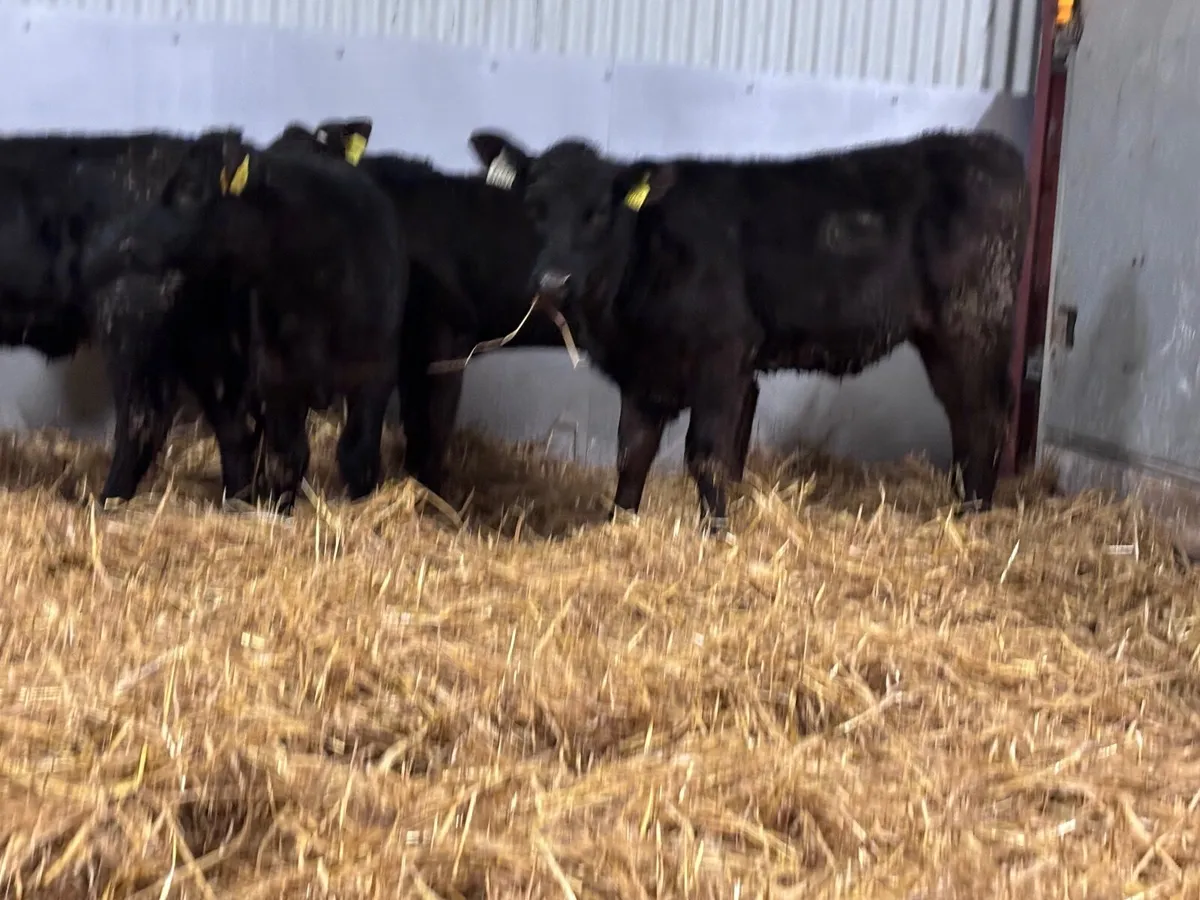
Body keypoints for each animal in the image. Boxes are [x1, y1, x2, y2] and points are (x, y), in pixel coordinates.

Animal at [467, 129, 1029, 535]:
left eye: (599, 212)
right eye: (533, 207)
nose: (552, 282)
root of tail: (989, 148)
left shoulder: (722, 358)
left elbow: (708, 455)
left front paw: (715, 532)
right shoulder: (644, 373)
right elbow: (632, 452)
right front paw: (618, 525)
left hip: (972, 323)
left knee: (983, 417)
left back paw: (974, 517)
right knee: (966, 417)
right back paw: (964, 508)